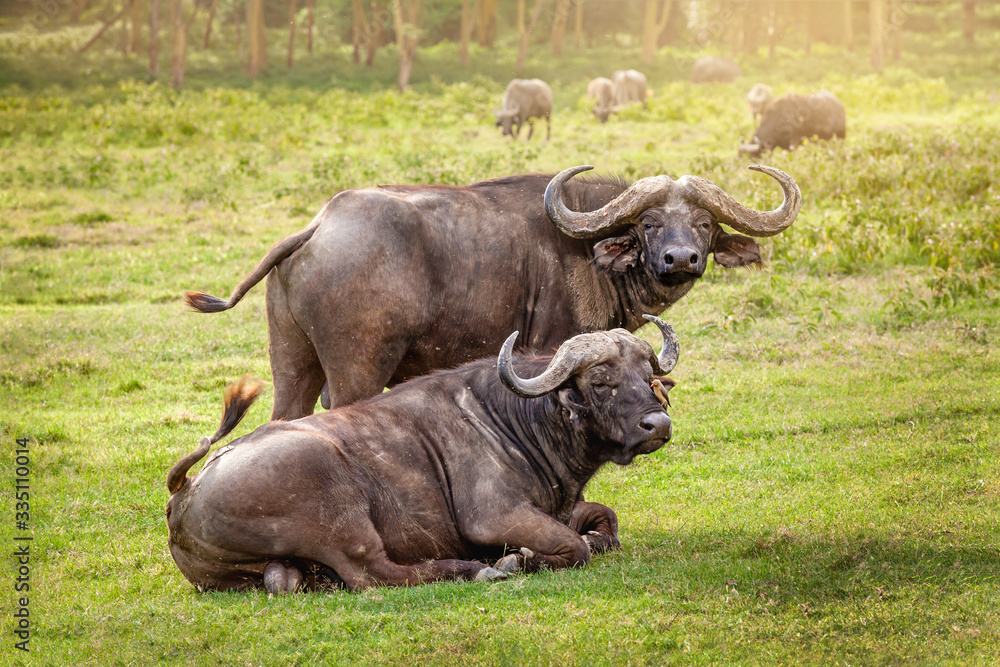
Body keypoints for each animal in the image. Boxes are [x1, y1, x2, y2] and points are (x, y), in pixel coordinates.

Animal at [166, 318, 680, 593]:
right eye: (602, 382)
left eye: (646, 377)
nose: (657, 425)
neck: (516, 418)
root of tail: (183, 495)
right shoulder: (495, 517)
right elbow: (575, 547)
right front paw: (516, 560)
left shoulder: (560, 507)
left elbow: (606, 522)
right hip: (342, 520)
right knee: (373, 574)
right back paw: (474, 568)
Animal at [185, 164, 801, 421]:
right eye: (649, 224)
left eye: (703, 224)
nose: (681, 259)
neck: (588, 249)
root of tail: (319, 226)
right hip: (358, 368)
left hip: (291, 363)